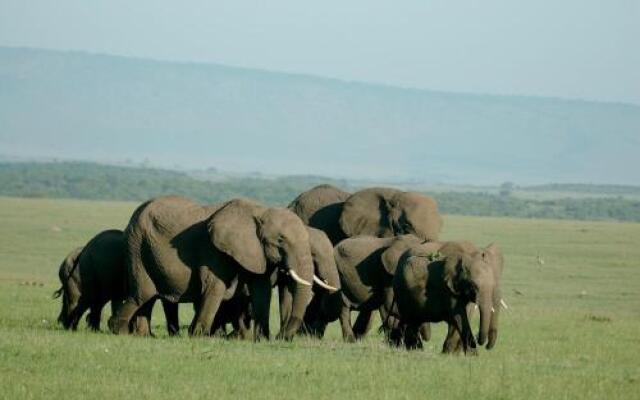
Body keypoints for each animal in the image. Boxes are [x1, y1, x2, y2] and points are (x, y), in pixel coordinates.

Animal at [108, 195, 324, 340]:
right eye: (281, 240)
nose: (283, 337)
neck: (260, 211)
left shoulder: (255, 252)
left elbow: (261, 290)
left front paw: (262, 339)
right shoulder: (213, 249)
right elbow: (216, 285)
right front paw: (198, 336)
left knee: (149, 296)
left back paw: (142, 335)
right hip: (136, 244)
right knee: (143, 293)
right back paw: (119, 330)